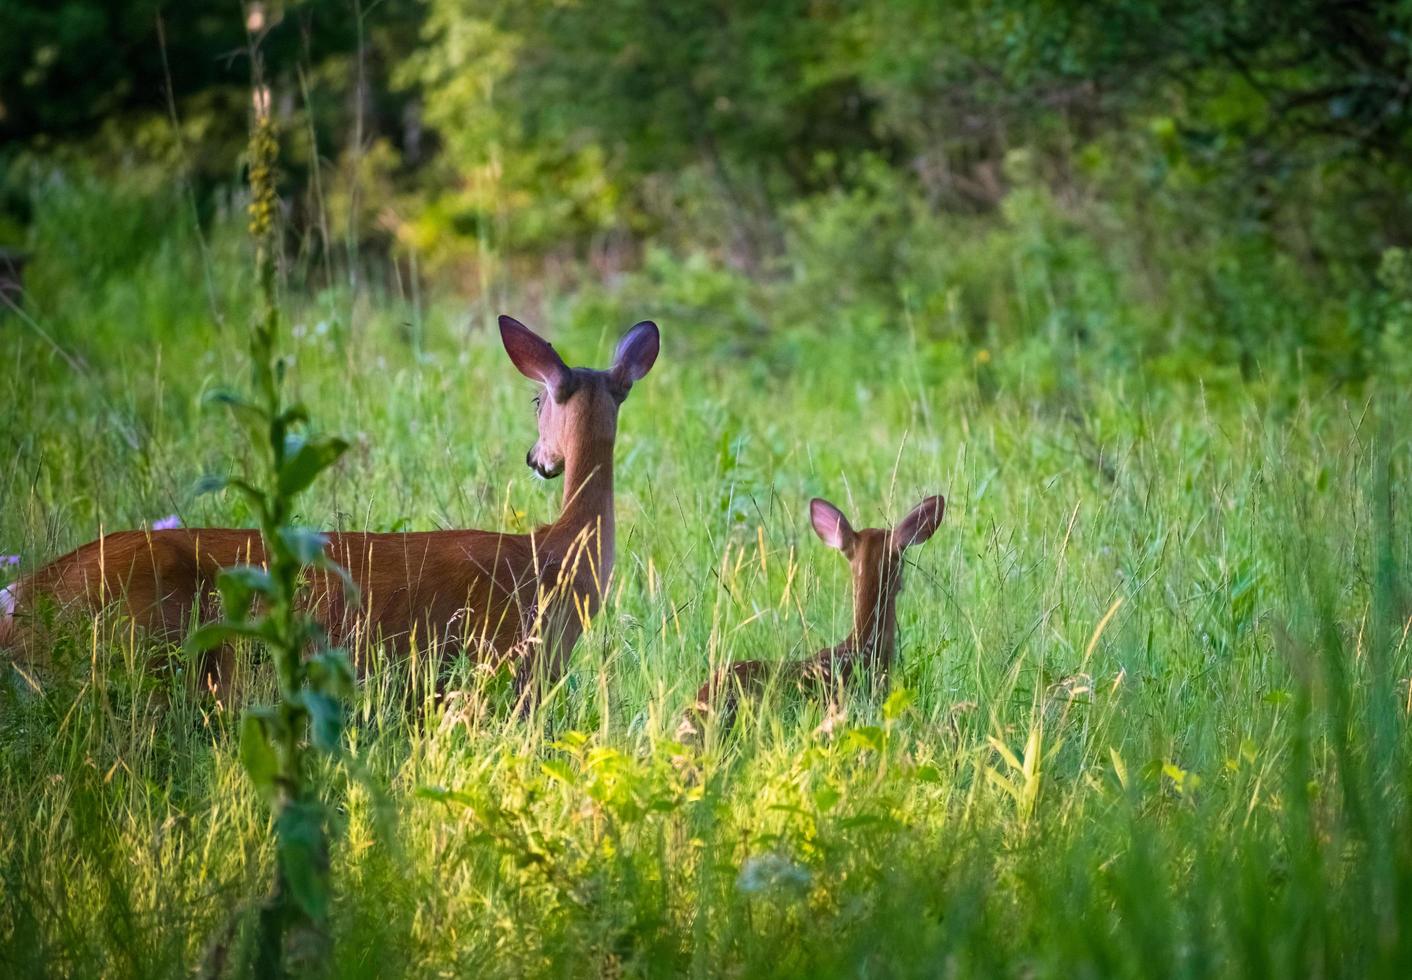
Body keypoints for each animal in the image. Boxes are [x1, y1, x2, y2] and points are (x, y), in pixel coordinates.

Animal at [0, 314, 660, 706]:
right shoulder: (508, 666)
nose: (537, 459)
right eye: (536, 401)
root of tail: (24, 596)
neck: (562, 555)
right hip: (140, 647)